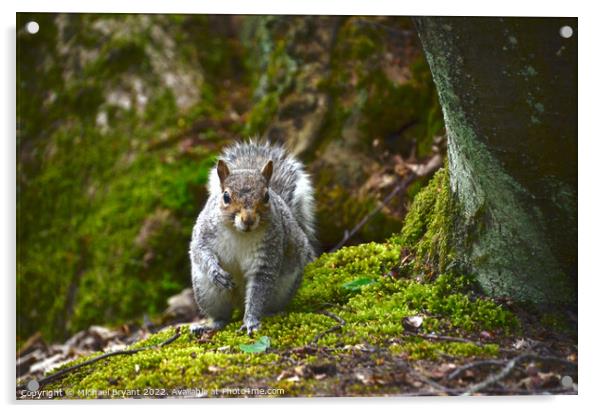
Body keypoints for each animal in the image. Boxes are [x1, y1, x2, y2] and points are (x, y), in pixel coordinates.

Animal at [189, 140, 316, 334]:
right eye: (226, 196)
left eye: (266, 196)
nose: (248, 219)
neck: (239, 233)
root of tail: (238, 304)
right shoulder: (204, 232)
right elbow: (200, 251)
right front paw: (215, 272)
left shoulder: (268, 252)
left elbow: (258, 292)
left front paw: (251, 322)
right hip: (207, 292)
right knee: (222, 316)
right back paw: (210, 325)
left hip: (284, 288)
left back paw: (272, 313)